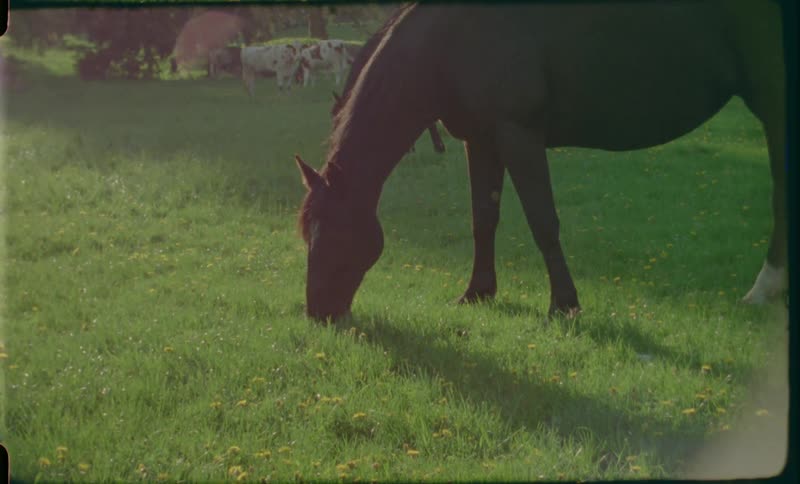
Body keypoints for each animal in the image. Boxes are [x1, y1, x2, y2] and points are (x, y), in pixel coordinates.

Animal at [296, 1, 787, 321]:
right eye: (307, 232)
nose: (318, 311)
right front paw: (478, 292)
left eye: (336, 232)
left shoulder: (520, 136)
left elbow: (542, 221)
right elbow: (483, 218)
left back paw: (765, 288)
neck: (454, 38)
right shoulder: (481, 142)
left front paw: (564, 305)